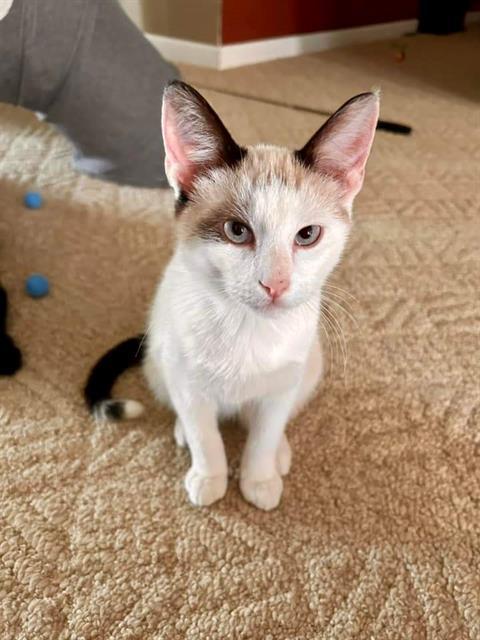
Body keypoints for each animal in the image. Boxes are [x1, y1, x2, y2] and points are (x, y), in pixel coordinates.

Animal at [85, 80, 378, 510]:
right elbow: (206, 435)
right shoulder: (188, 382)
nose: (275, 284)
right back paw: (183, 433)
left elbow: (264, 434)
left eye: (308, 235)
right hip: (159, 358)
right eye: (237, 231)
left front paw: (259, 479)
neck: (249, 330)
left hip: (310, 366)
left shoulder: (281, 385)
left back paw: (280, 453)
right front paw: (210, 477)